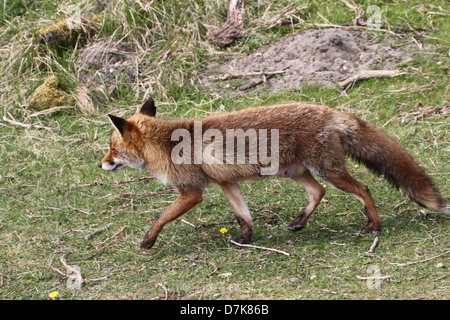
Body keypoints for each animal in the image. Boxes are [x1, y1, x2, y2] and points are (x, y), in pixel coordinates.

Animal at [100, 99, 448, 249]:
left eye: (112, 148)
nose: (100, 164)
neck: (168, 145)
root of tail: (330, 110)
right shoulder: (227, 182)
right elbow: (243, 215)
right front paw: (246, 239)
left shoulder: (192, 192)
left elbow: (161, 217)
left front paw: (147, 240)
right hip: (294, 172)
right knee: (317, 192)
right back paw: (299, 222)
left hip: (328, 170)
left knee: (363, 188)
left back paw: (373, 225)